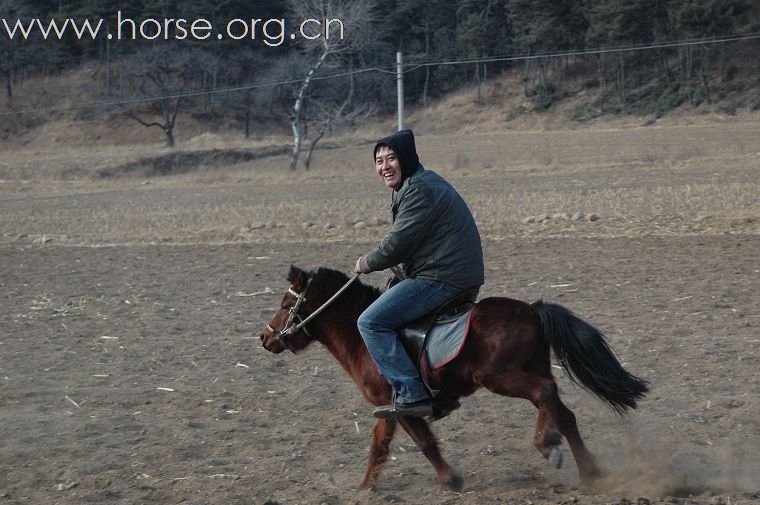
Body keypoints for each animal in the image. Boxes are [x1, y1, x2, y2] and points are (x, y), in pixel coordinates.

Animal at [260, 266, 648, 490]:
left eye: (285, 304)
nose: (265, 338)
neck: (360, 334)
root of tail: (532, 310)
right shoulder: (387, 410)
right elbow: (378, 446)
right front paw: (365, 486)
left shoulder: (402, 405)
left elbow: (424, 443)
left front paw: (451, 479)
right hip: (529, 369)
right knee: (557, 407)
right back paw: (568, 455)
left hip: (502, 377)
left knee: (546, 394)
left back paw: (566, 457)